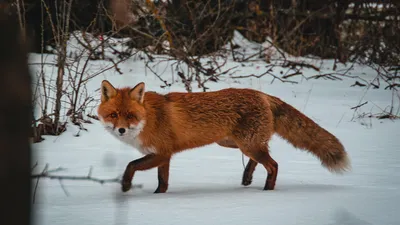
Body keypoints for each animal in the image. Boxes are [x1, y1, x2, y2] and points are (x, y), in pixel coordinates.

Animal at [97, 80, 350, 193]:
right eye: (113, 115)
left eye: (130, 115)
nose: (121, 130)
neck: (148, 118)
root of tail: (262, 94)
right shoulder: (164, 156)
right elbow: (163, 181)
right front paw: (159, 196)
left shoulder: (162, 152)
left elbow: (131, 165)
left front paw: (126, 186)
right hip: (234, 143)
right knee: (262, 157)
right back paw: (247, 178)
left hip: (245, 143)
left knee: (273, 164)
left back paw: (267, 191)